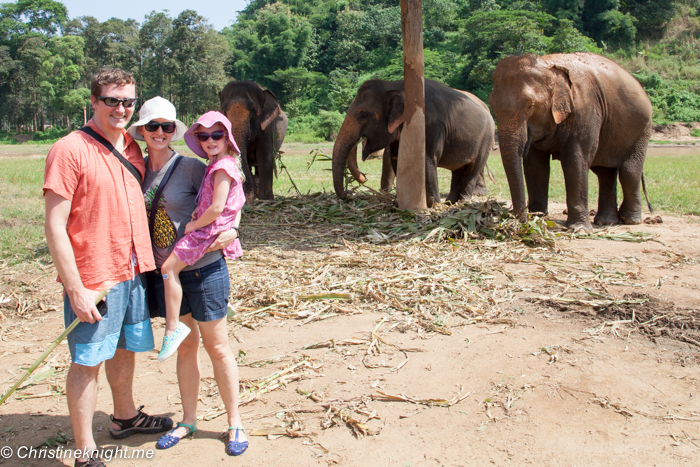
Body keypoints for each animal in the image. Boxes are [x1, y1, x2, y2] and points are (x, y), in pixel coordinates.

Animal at [332, 78, 492, 207]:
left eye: (362, 114)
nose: (347, 194)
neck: (395, 85)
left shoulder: (429, 126)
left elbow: (427, 160)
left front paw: (433, 205)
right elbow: (397, 160)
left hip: (485, 140)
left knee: (473, 168)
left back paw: (462, 201)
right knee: (458, 170)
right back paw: (450, 202)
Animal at [490, 53, 652, 230]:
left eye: (530, 105)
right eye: (492, 105)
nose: (521, 223)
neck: (548, 64)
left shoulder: (586, 110)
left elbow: (575, 160)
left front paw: (578, 228)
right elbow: (535, 166)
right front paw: (538, 218)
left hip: (641, 130)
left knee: (629, 171)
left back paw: (630, 220)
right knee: (604, 173)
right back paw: (606, 221)